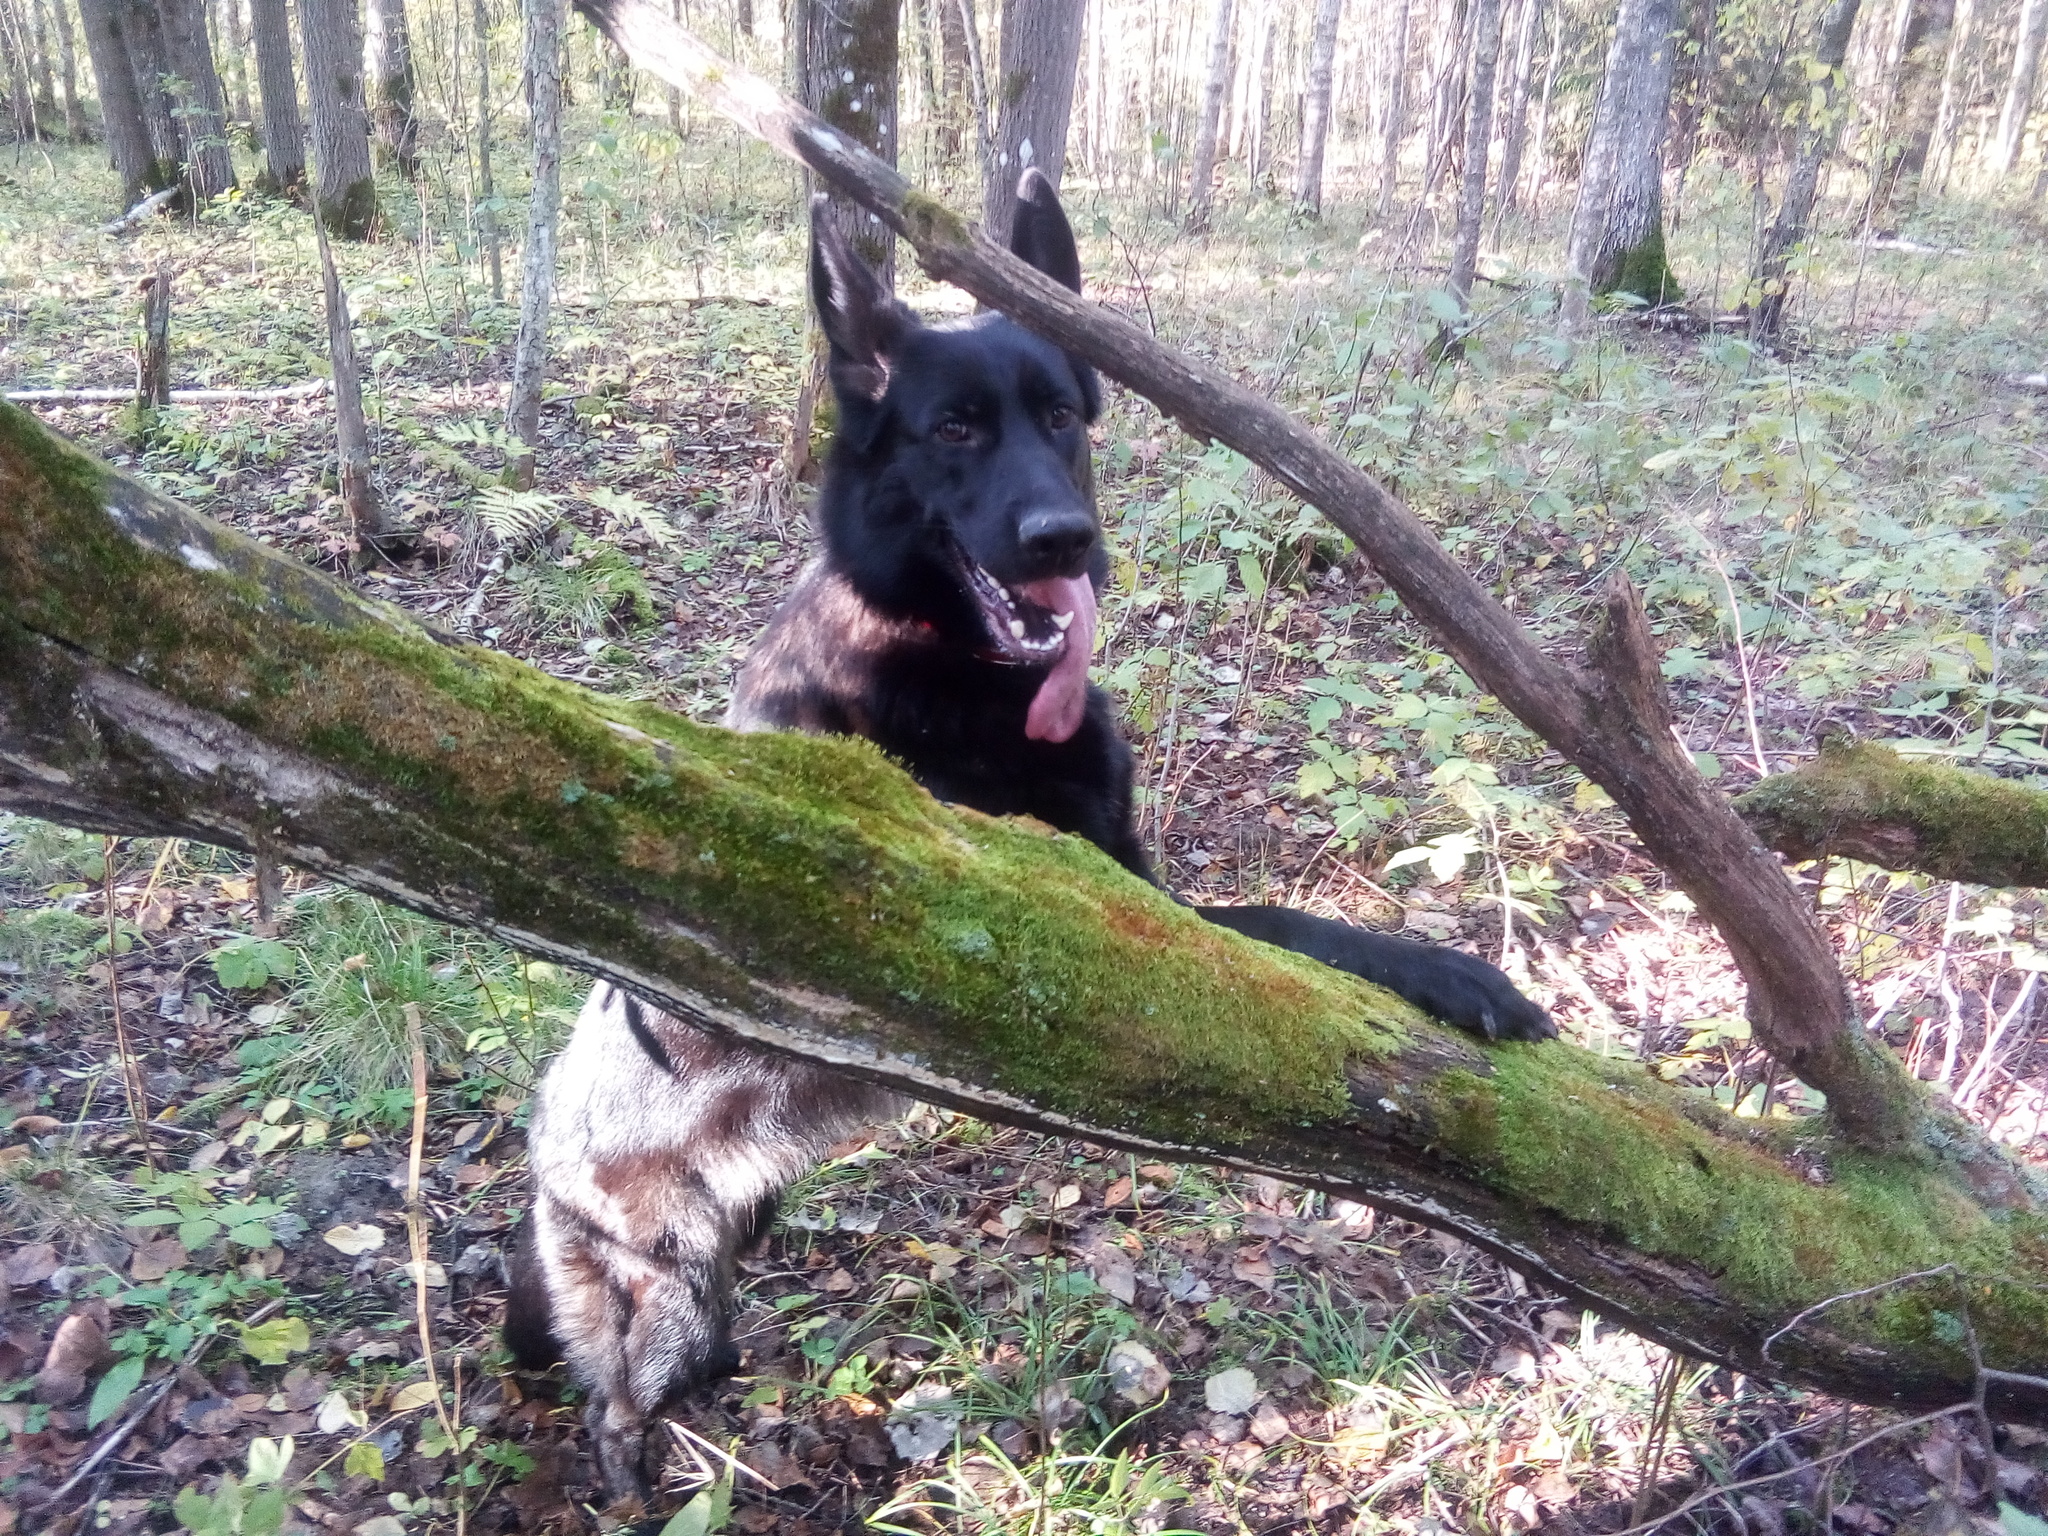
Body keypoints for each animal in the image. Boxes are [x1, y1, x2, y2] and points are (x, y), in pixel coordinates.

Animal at [507, 171, 1548, 1507]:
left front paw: (1453, 976)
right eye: (952, 431)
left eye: (1058, 417)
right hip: (663, 1300)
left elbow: (1300, 931)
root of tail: (540, 1147)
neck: (963, 680)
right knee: (616, 1407)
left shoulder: (1140, 894)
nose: (1063, 540)